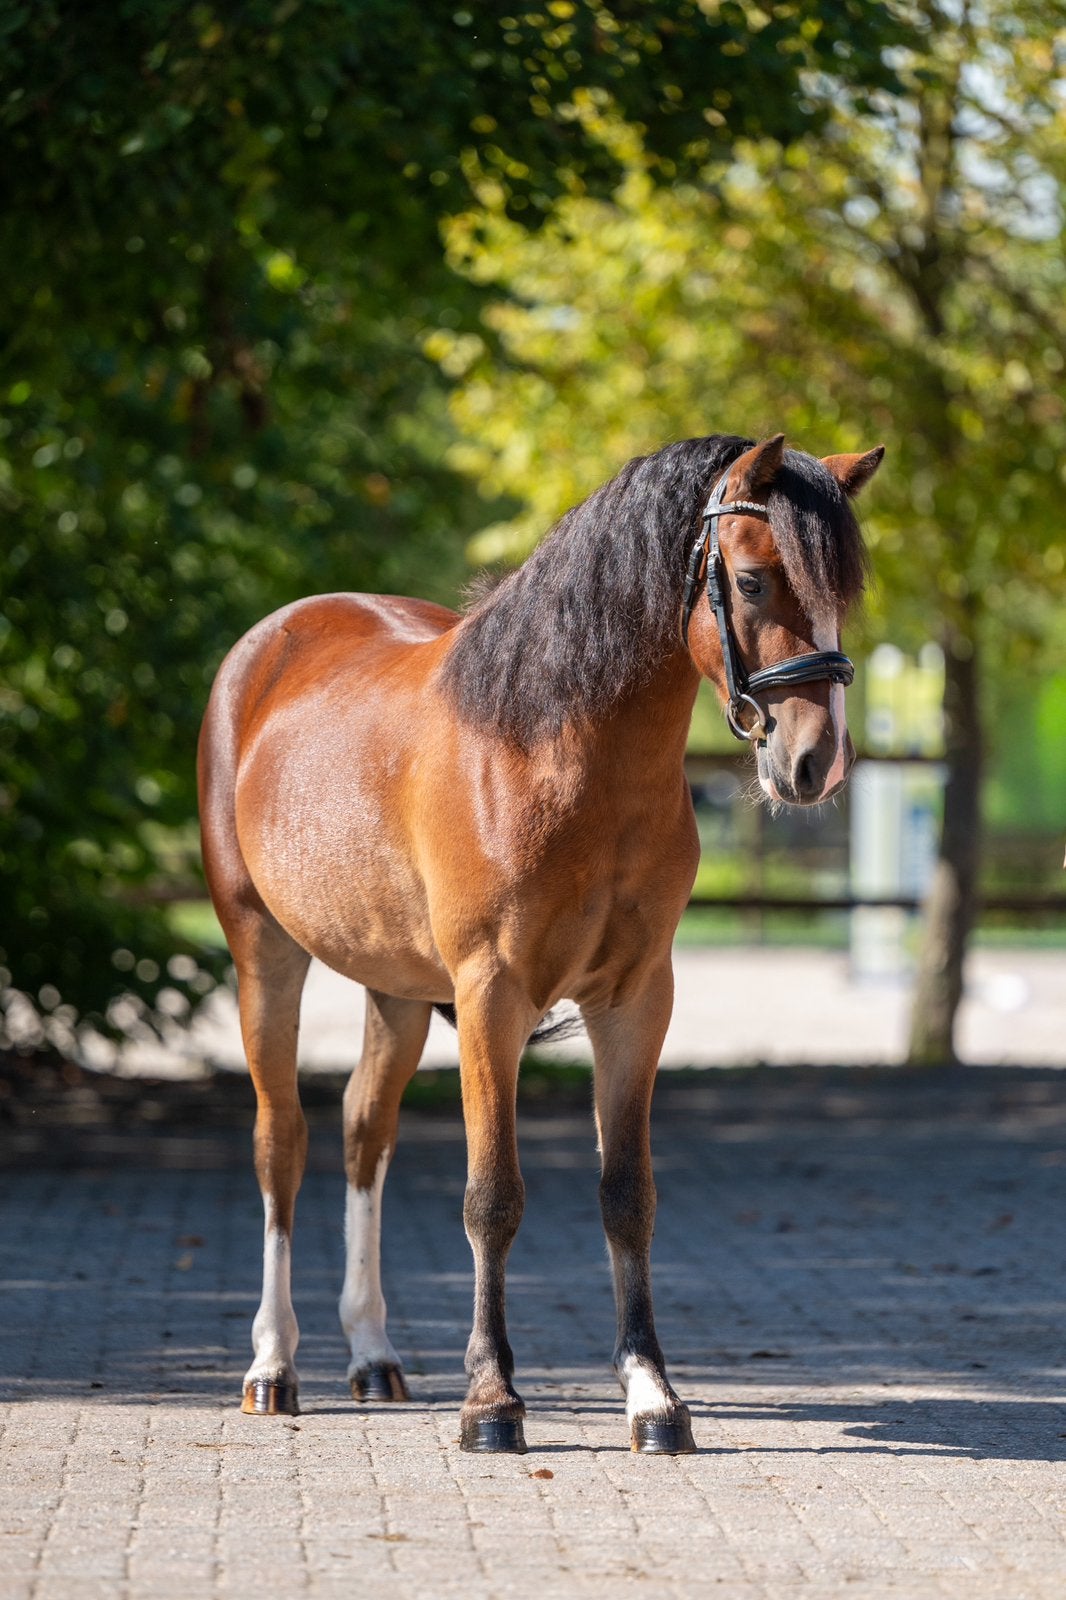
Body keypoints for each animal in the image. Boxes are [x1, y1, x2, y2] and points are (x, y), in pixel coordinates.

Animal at [197, 430, 882, 1455]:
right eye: (754, 580)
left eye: (845, 589)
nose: (814, 764)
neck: (557, 749)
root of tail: (267, 646)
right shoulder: (492, 996)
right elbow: (494, 1198)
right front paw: (492, 1402)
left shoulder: (637, 1000)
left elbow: (627, 1195)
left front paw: (653, 1398)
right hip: (263, 954)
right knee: (283, 1141)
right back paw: (273, 1367)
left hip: (397, 988)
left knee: (364, 1130)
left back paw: (372, 1355)